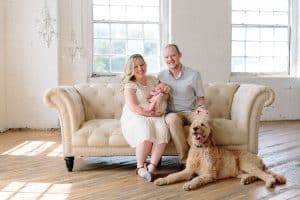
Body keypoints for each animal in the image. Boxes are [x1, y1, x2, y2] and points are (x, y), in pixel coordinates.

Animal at [155, 115, 286, 191]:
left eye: (202, 124)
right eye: (193, 125)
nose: (195, 128)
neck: (200, 149)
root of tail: (260, 159)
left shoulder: (209, 174)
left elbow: (197, 179)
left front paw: (189, 184)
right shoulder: (188, 171)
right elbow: (173, 176)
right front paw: (162, 180)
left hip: (246, 163)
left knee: (263, 174)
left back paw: (269, 181)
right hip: (238, 171)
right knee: (256, 175)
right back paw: (248, 179)